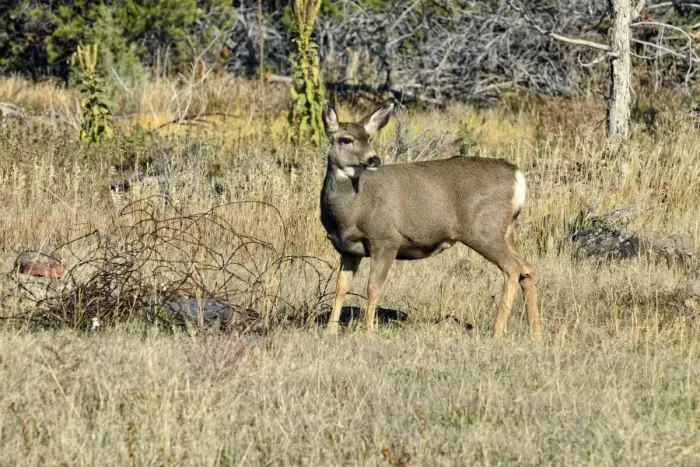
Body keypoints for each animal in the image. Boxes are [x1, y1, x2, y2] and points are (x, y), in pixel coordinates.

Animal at [320, 100, 540, 338]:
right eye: (346, 139)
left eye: (369, 138)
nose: (374, 159)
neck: (352, 210)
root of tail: (518, 177)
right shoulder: (348, 249)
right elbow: (340, 287)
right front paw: (330, 330)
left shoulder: (386, 239)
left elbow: (372, 287)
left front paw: (368, 332)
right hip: (506, 230)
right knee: (526, 266)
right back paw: (535, 332)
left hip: (484, 230)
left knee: (513, 268)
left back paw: (497, 332)